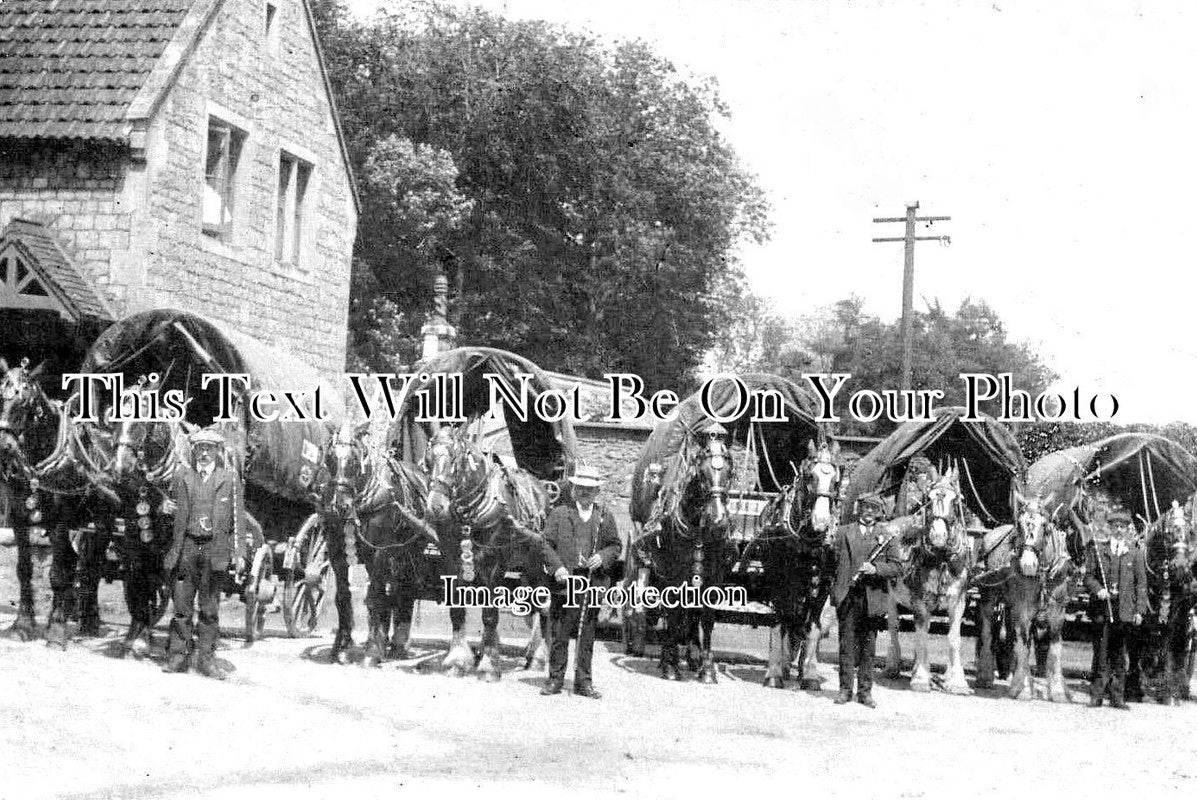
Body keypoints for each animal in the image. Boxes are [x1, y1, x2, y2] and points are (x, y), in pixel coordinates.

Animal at [423, 423, 548, 680]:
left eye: (455, 460)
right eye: (428, 459)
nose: (436, 506)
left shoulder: (494, 565)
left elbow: (490, 615)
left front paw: (489, 666)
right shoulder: (453, 561)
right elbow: (457, 611)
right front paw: (458, 661)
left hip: (534, 561)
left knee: (542, 602)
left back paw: (538, 657)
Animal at [632, 423, 732, 680]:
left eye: (728, 471)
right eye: (703, 472)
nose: (718, 520)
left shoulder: (714, 575)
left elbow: (706, 618)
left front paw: (707, 668)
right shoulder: (674, 573)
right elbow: (675, 615)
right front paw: (671, 665)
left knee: (690, 615)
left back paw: (692, 656)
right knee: (671, 614)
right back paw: (670, 657)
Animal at [751, 438, 847, 689]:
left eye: (836, 481)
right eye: (809, 476)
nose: (821, 521)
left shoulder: (823, 586)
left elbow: (812, 627)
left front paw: (810, 674)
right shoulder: (777, 580)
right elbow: (779, 622)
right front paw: (774, 672)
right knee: (788, 619)